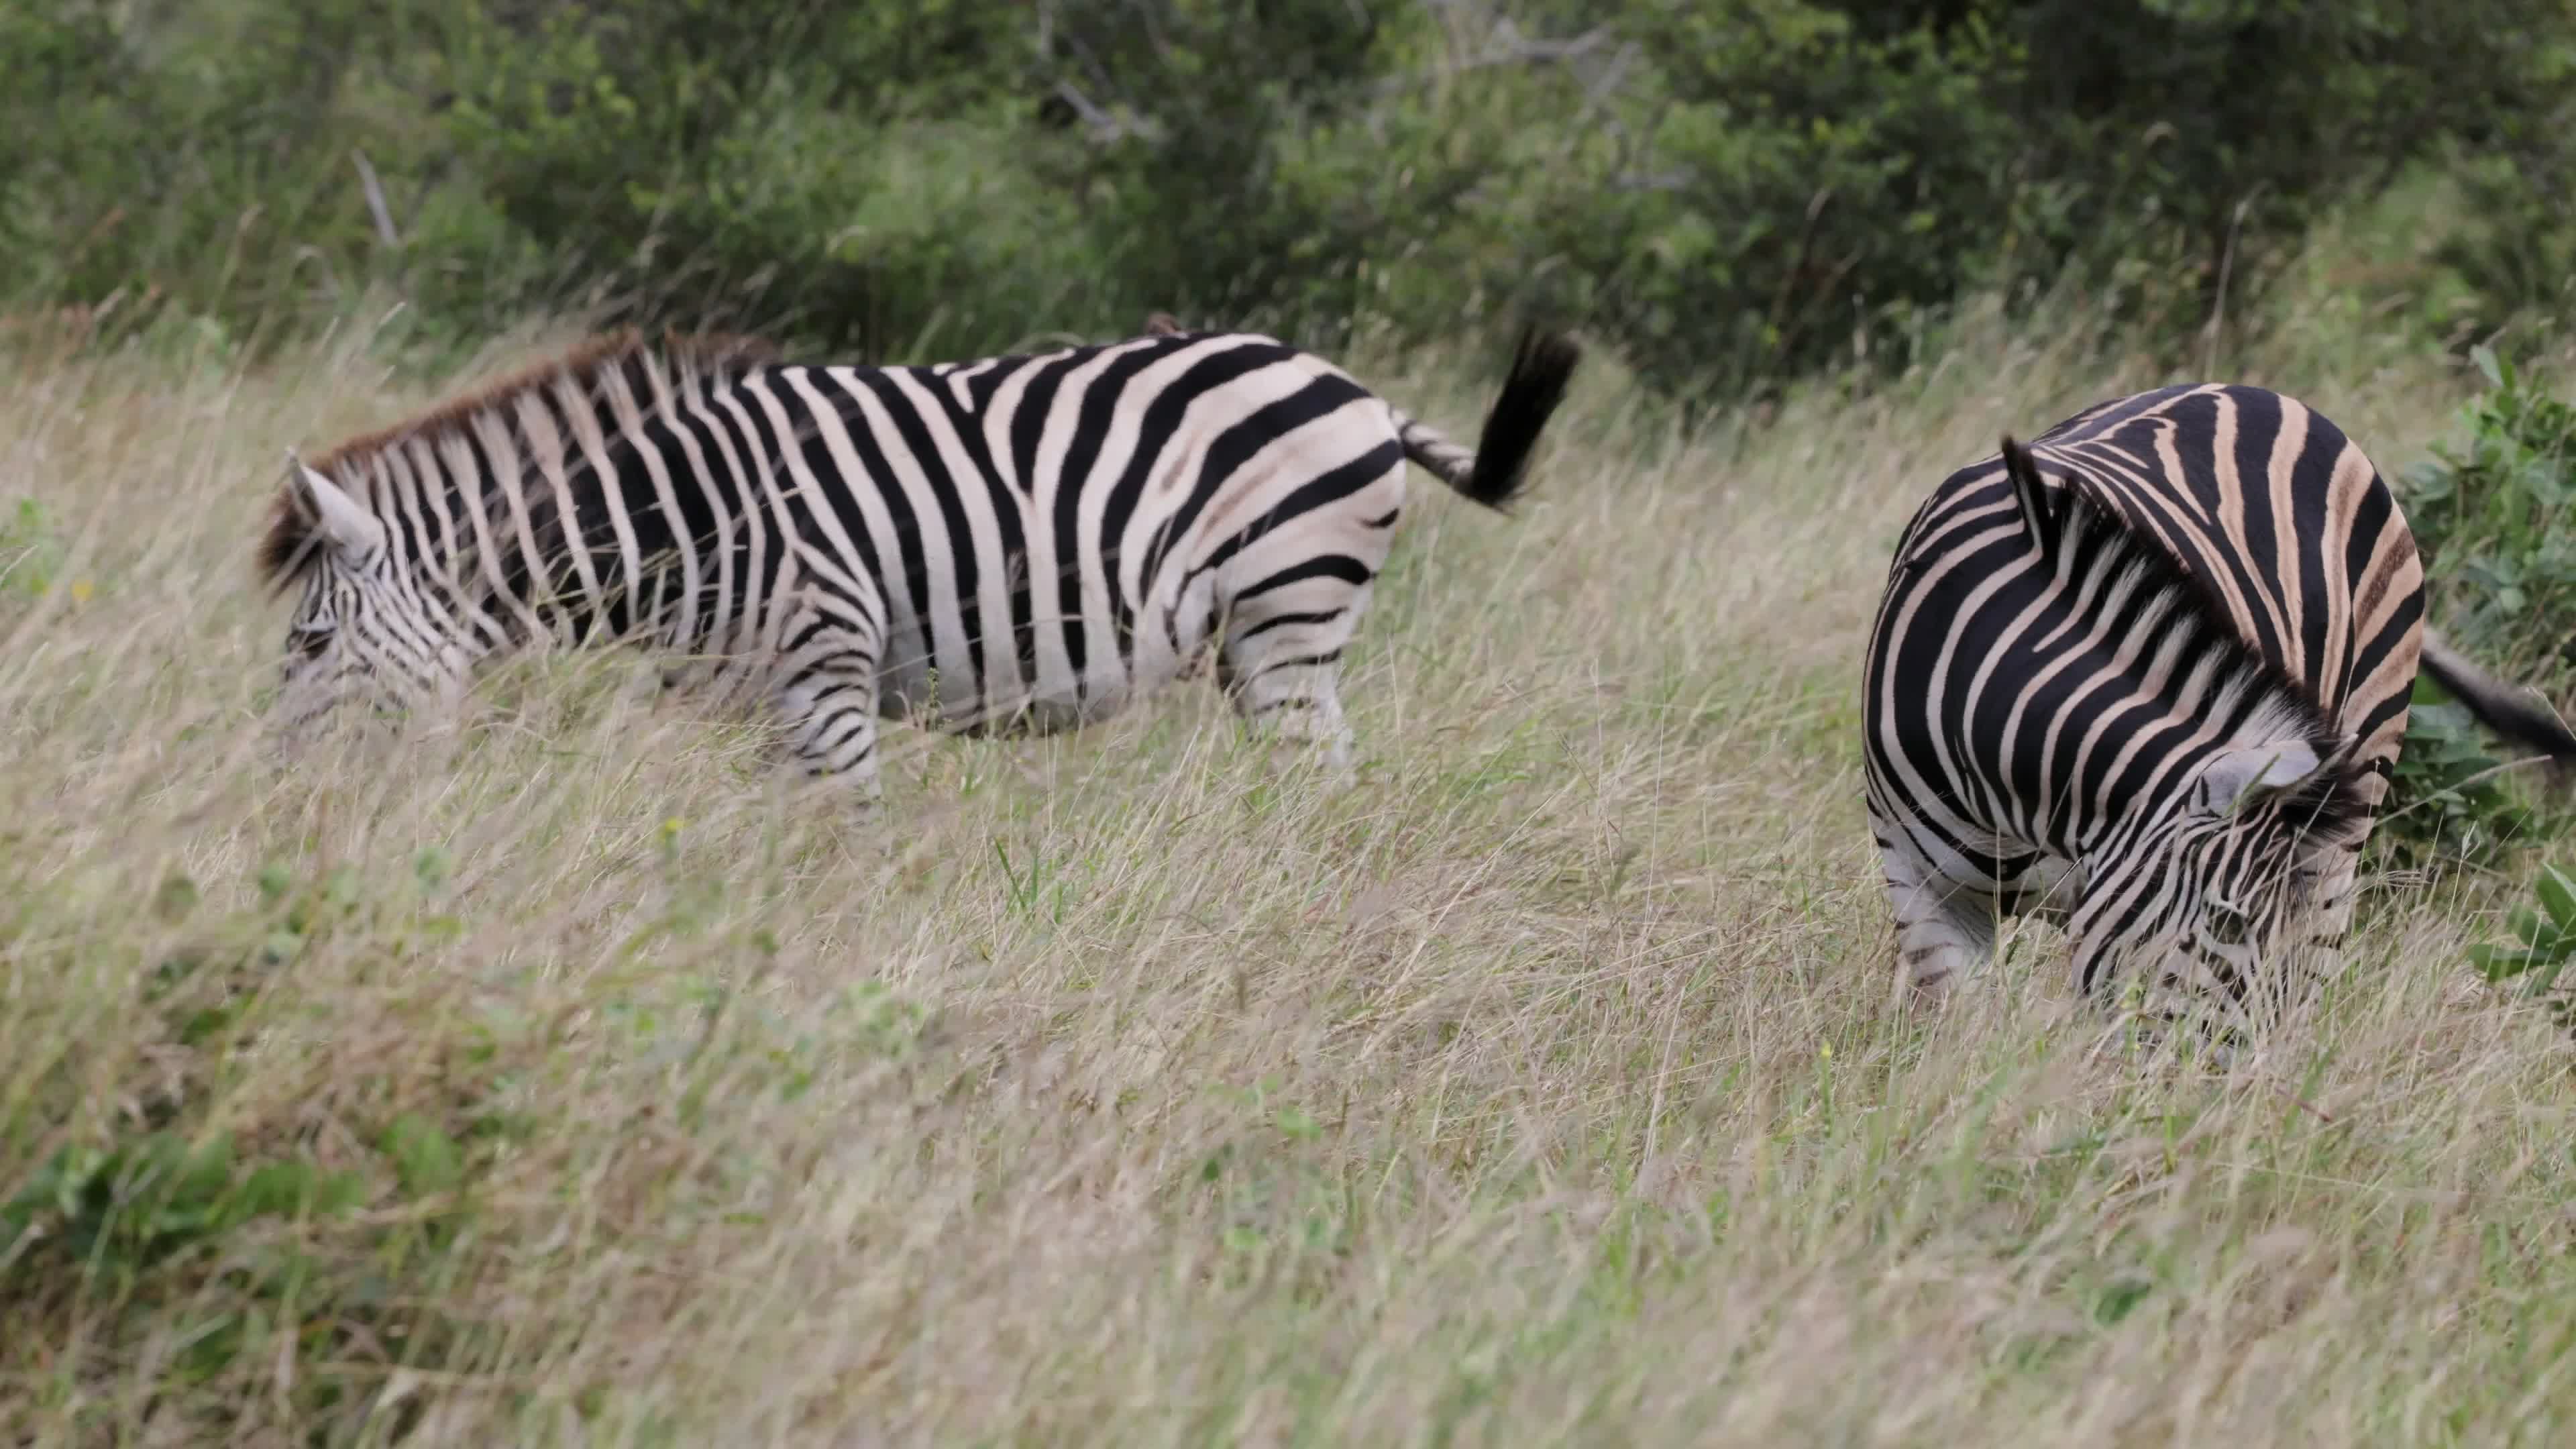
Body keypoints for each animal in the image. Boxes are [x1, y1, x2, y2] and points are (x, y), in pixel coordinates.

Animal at [257, 323, 1581, 803]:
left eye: (310, 642)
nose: (269, 804)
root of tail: (1354, 385)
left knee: (1320, 786)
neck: (684, 523)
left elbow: (849, 835)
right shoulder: (766, 705)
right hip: (1267, 640)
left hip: (1285, 619)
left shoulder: (828, 671)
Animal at [1862, 382, 2576, 1045]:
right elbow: (1953, 1035)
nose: (2228, 1087)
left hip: (2355, 792)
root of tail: (2258, 392)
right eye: (2228, 920)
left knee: (2317, 964)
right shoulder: (1921, 884)